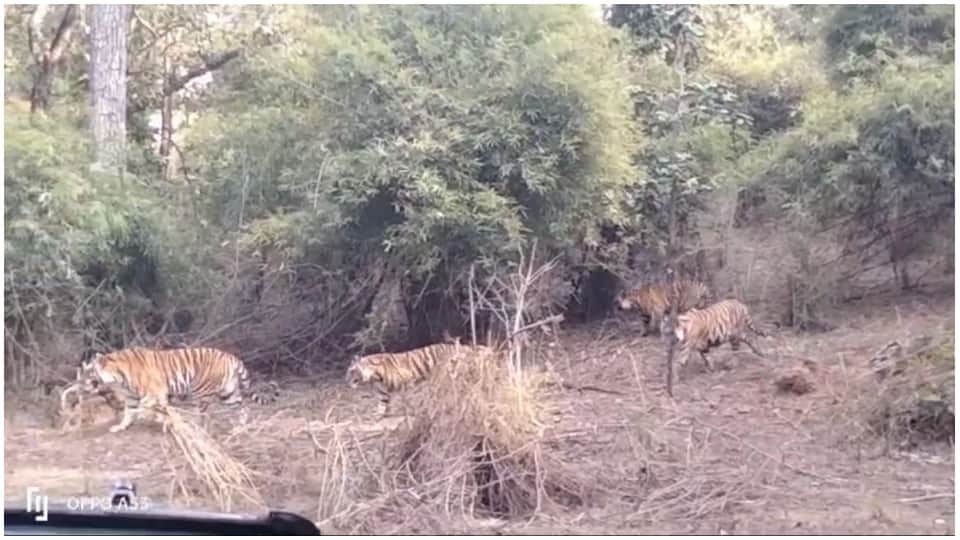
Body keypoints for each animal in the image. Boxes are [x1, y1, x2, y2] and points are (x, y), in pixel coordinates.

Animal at [74, 346, 270, 433]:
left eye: (87, 374)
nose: (77, 386)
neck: (118, 377)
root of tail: (232, 357)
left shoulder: (155, 392)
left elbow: (147, 408)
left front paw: (158, 418)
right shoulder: (131, 397)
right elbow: (129, 412)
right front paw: (121, 426)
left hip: (201, 391)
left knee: (203, 415)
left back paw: (195, 426)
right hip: (228, 393)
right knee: (243, 408)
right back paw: (240, 428)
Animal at [346, 341, 494, 418]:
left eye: (351, 371)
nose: (346, 381)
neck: (374, 376)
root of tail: (463, 347)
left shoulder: (408, 382)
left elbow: (409, 399)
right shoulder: (383, 392)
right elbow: (382, 405)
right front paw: (378, 415)